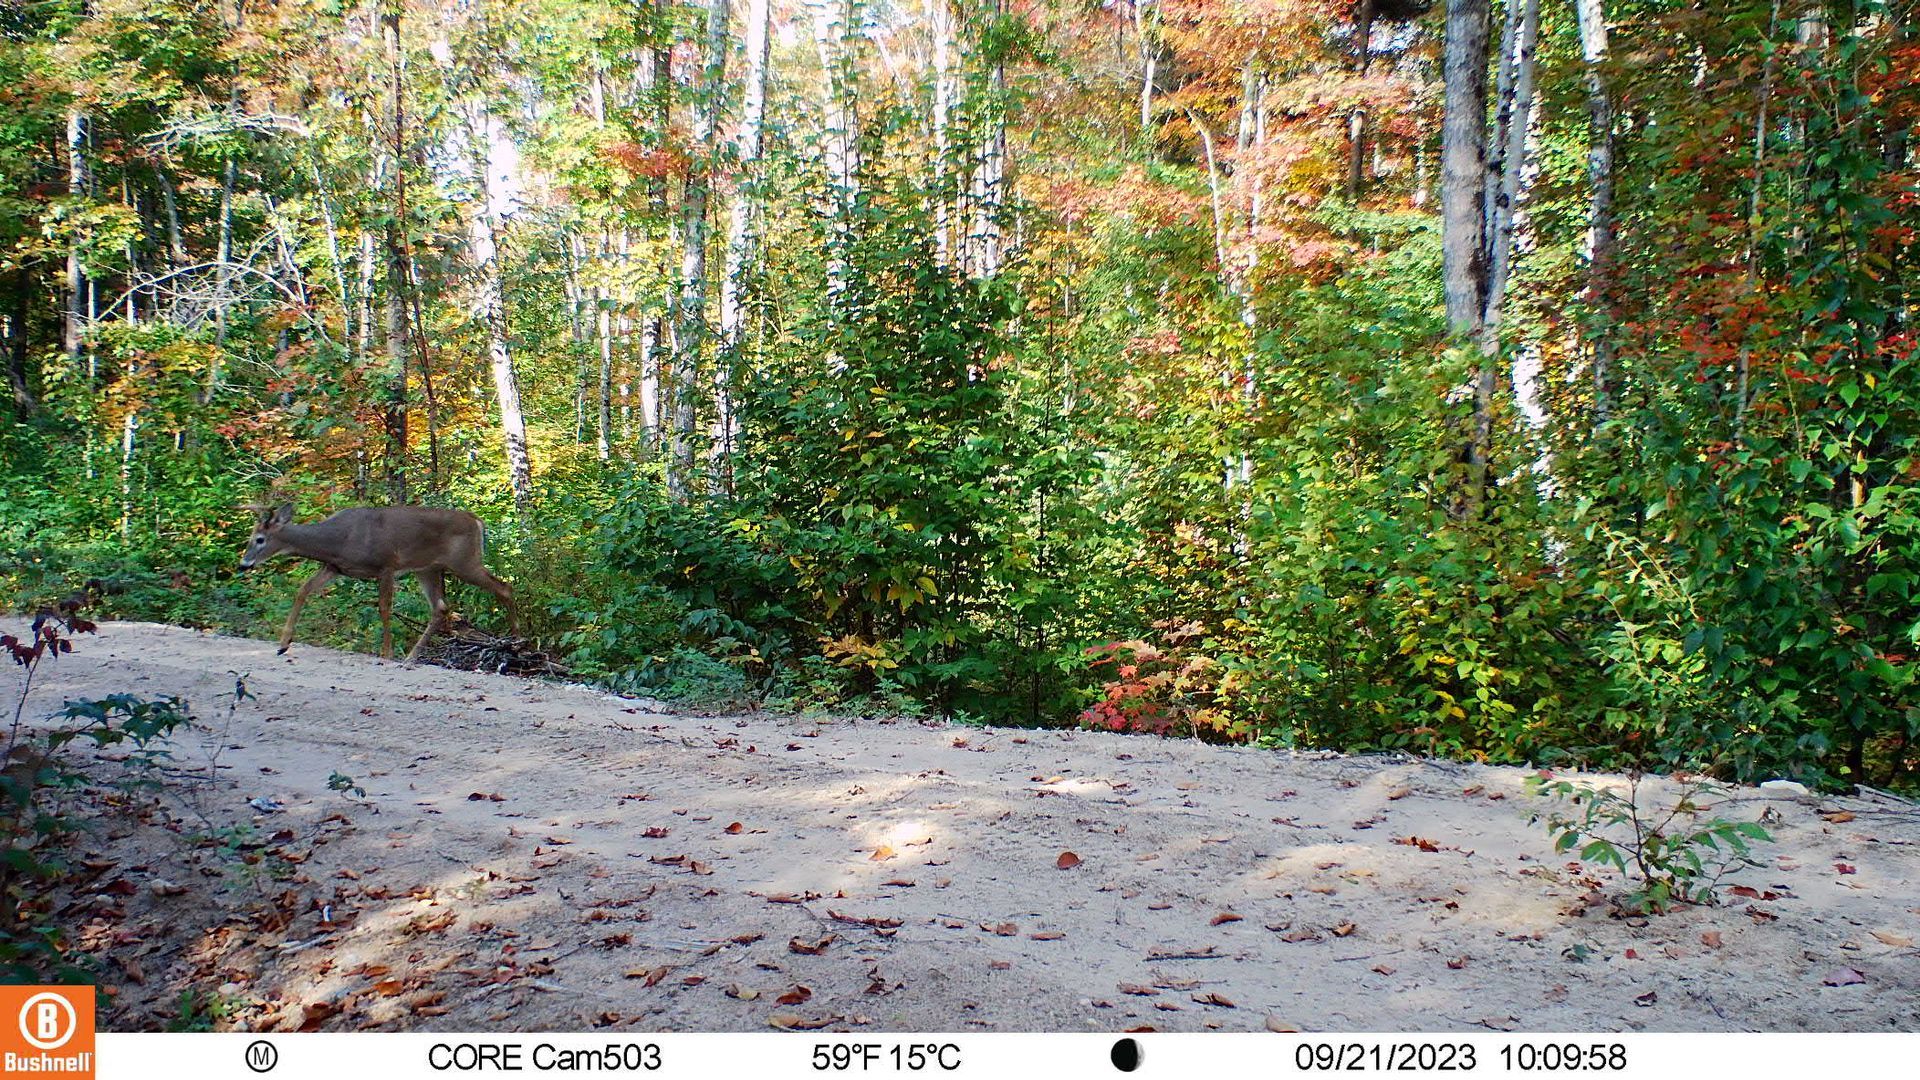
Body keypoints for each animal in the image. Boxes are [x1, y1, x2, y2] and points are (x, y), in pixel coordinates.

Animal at [238, 503, 519, 663]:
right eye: (250, 537)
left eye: (260, 539)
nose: (243, 564)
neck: (337, 540)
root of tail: (476, 520)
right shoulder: (336, 568)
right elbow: (303, 589)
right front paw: (283, 645)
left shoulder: (386, 565)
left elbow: (384, 608)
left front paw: (386, 653)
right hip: (427, 568)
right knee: (440, 608)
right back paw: (411, 657)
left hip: (464, 561)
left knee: (505, 587)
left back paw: (515, 642)